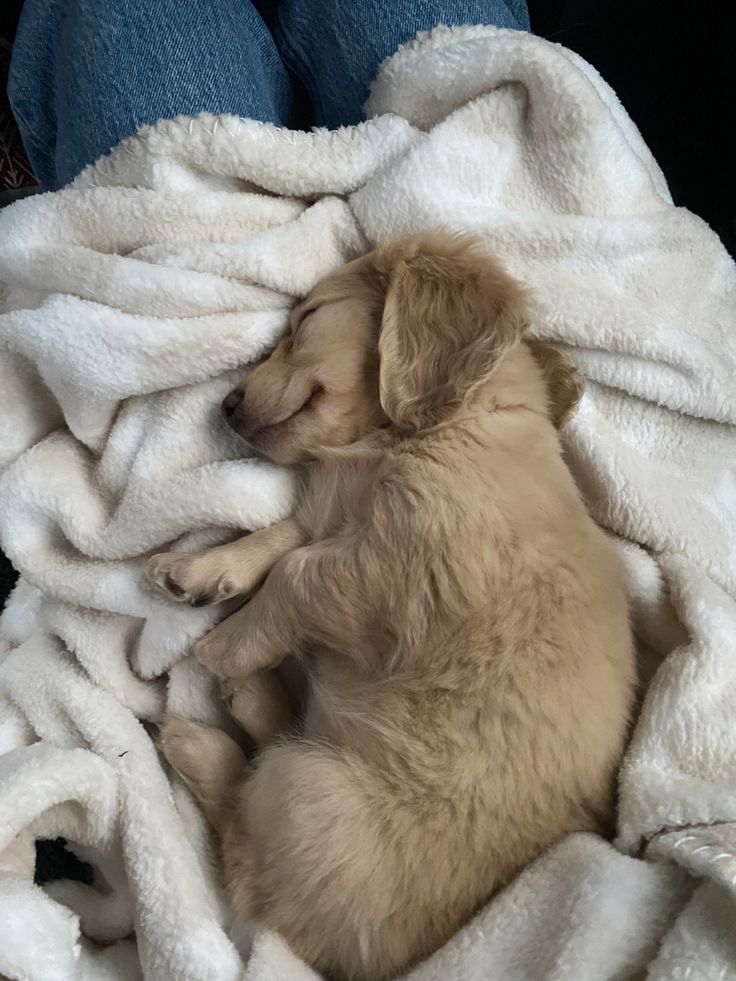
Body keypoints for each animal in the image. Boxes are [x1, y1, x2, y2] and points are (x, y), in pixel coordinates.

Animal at [148, 232, 632, 980]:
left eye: (305, 321)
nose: (224, 406)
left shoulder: (394, 562)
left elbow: (296, 572)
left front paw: (224, 644)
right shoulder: (338, 519)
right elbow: (283, 536)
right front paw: (200, 570)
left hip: (307, 797)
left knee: (244, 839)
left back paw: (199, 733)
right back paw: (254, 697)